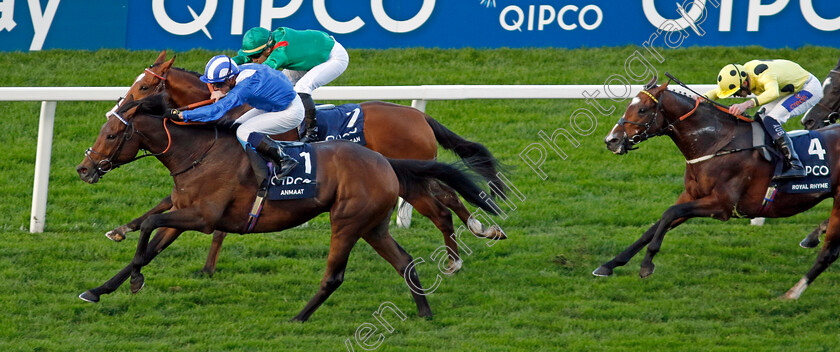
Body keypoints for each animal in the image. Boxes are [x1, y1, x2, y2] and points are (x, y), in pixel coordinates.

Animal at [75, 94, 498, 322]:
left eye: (111, 134)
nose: (84, 168)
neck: (199, 154)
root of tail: (383, 161)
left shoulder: (202, 217)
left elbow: (150, 228)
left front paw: (135, 281)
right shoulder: (185, 215)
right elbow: (149, 243)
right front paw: (98, 290)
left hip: (348, 221)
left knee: (336, 274)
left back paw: (299, 317)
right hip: (373, 225)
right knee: (405, 259)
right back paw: (425, 311)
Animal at [104, 50, 506, 276]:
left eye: (143, 87)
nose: (118, 110)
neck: (236, 107)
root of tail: (418, 115)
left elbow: (214, 223)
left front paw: (208, 265)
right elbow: (165, 203)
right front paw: (122, 229)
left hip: (409, 174)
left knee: (441, 207)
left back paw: (461, 252)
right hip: (415, 171)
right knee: (448, 197)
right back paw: (481, 231)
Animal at [596, 77, 840, 300]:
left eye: (642, 110)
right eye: (630, 105)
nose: (611, 140)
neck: (716, 144)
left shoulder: (722, 205)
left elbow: (669, 214)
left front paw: (647, 265)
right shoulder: (691, 195)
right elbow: (657, 224)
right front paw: (609, 265)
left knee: (829, 253)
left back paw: (791, 294)